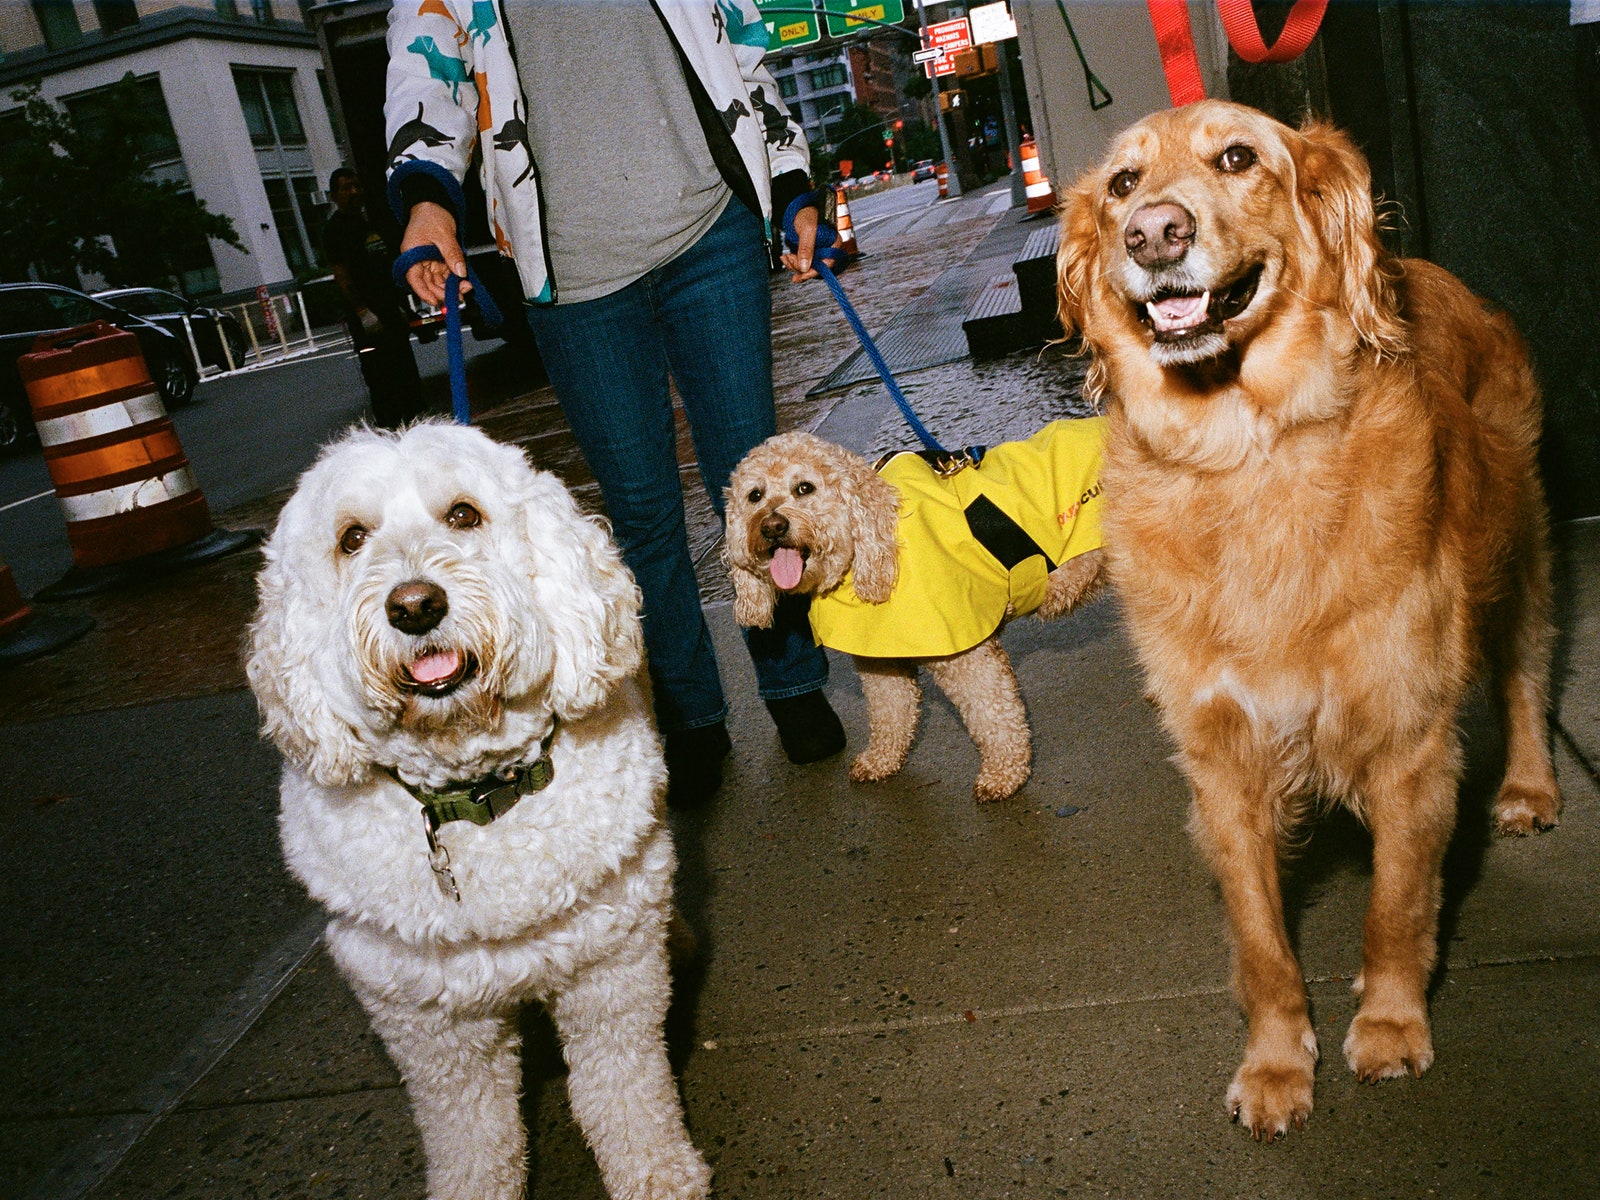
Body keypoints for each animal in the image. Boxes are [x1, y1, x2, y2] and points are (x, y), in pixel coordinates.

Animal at [246, 422, 710, 1200]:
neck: (478, 790)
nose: (414, 606)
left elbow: (623, 1087)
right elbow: (471, 1131)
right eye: (351, 538)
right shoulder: (430, 1021)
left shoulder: (608, 972)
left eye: (463, 515)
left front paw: (656, 1171)